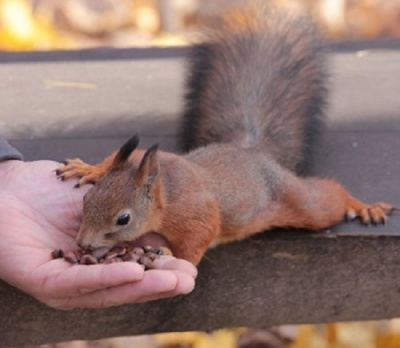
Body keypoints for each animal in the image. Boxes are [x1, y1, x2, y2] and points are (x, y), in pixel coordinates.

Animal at [57, 3, 394, 264]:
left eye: (123, 219)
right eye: (87, 199)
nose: (83, 244)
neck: (167, 190)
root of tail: (249, 151)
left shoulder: (196, 215)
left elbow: (198, 241)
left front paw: (171, 256)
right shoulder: (154, 157)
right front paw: (89, 168)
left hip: (296, 198)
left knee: (326, 198)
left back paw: (362, 206)